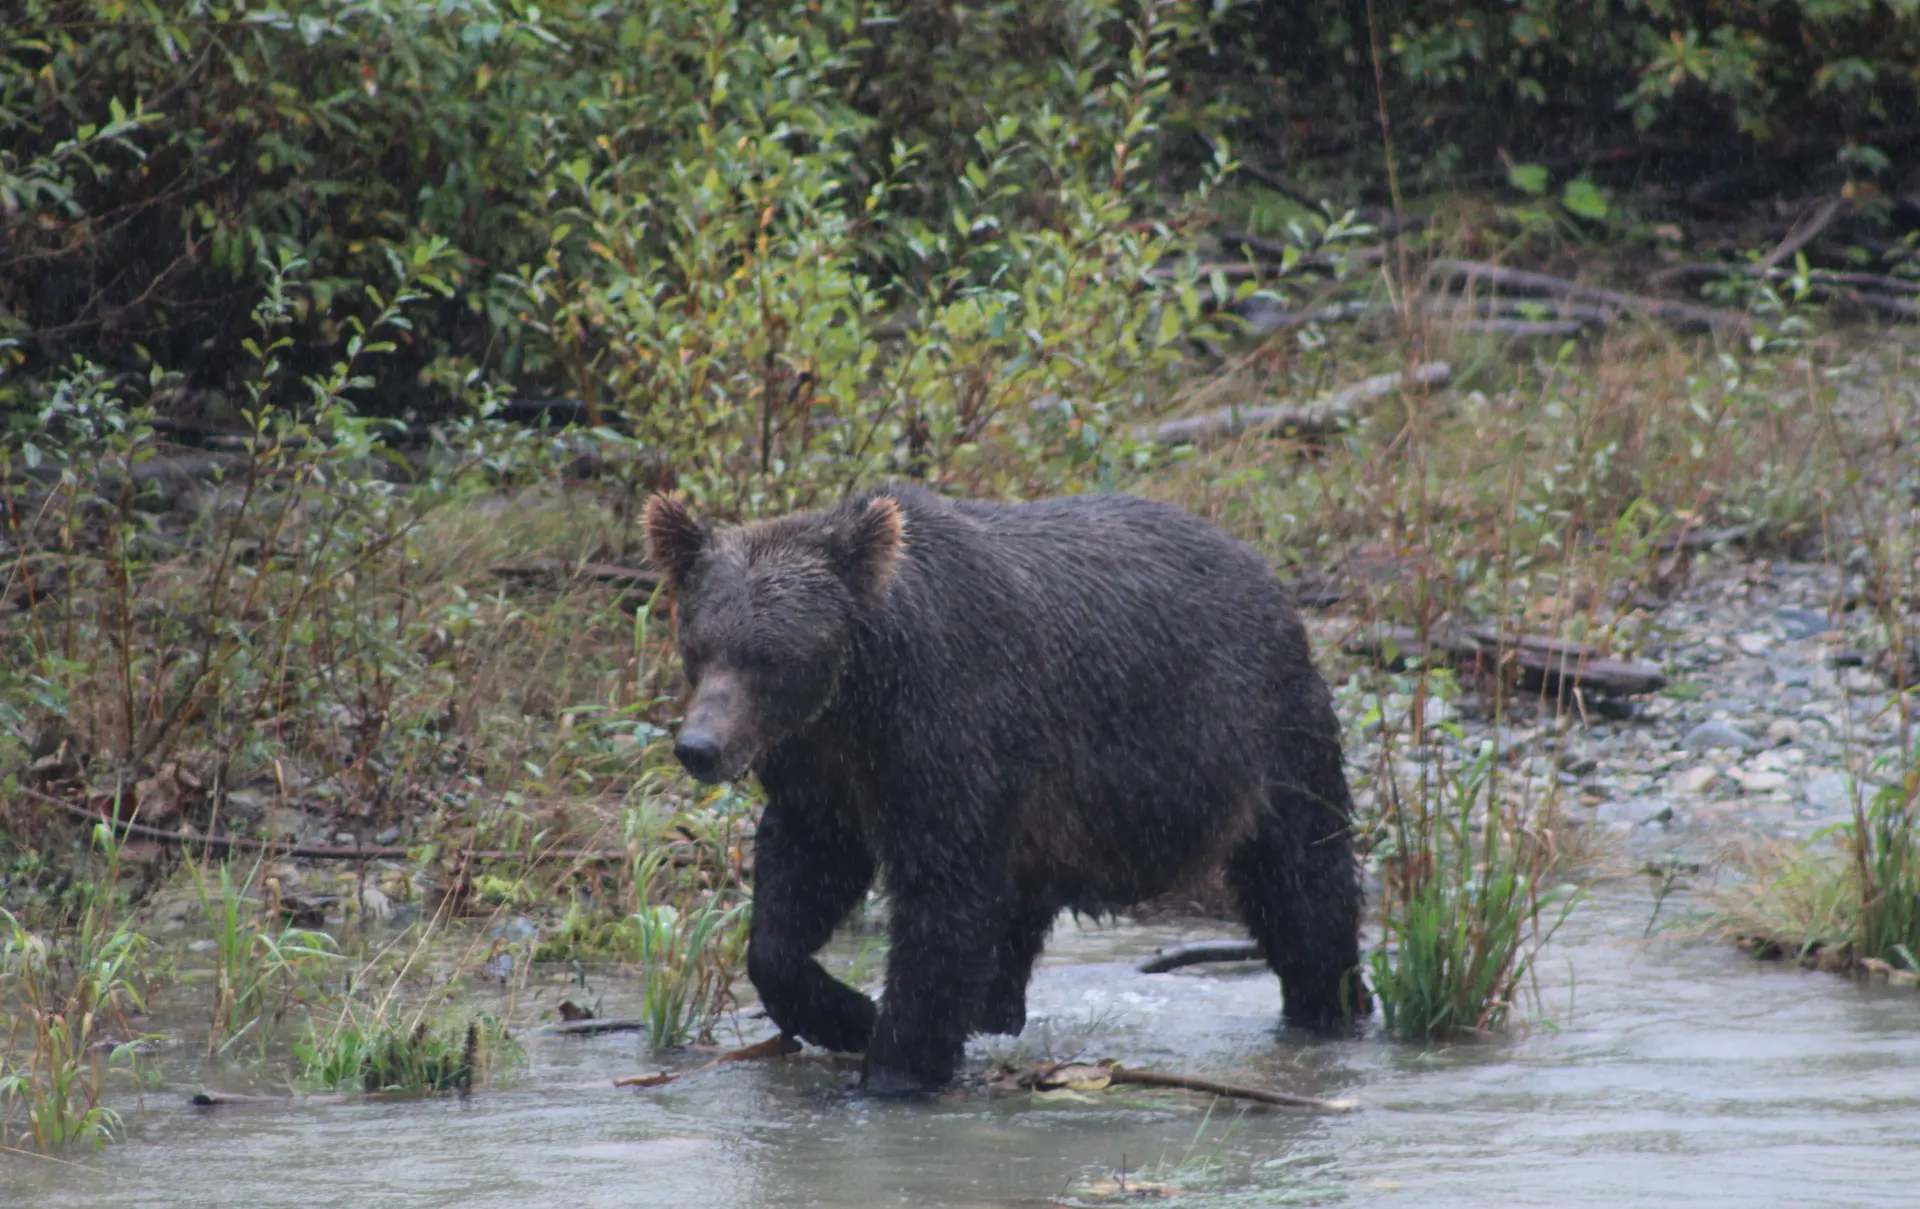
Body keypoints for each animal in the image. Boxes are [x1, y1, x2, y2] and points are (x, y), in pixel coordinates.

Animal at [646, 484, 1368, 1095]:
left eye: (768, 658)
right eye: (698, 646)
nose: (700, 747)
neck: (856, 698)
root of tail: (1264, 568)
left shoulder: (949, 726)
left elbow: (943, 900)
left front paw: (891, 1068)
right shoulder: (820, 773)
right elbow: (798, 885)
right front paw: (846, 1012)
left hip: (1259, 734)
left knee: (1305, 883)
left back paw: (1332, 1005)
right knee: (1016, 920)